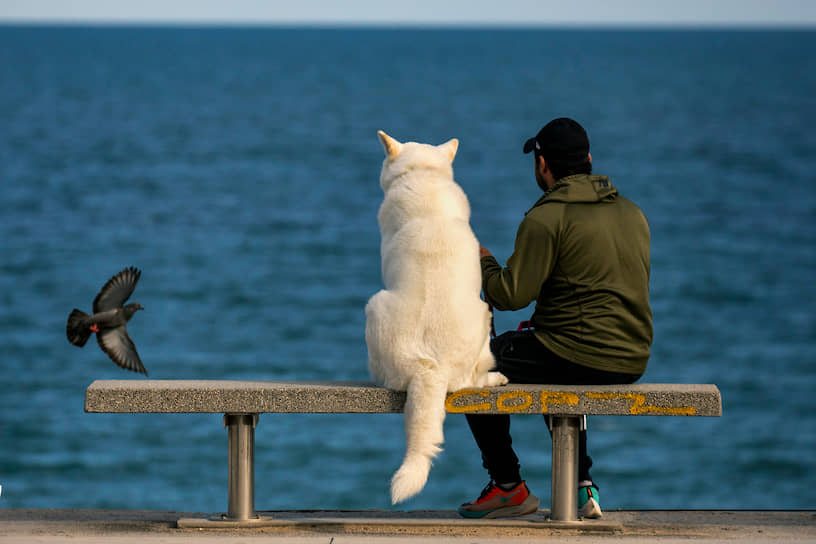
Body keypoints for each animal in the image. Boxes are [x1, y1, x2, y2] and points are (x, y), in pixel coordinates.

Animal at [366, 130, 506, 504]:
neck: (424, 176)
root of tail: (429, 366)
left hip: (374, 305)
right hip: (482, 313)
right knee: (473, 378)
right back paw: (496, 378)